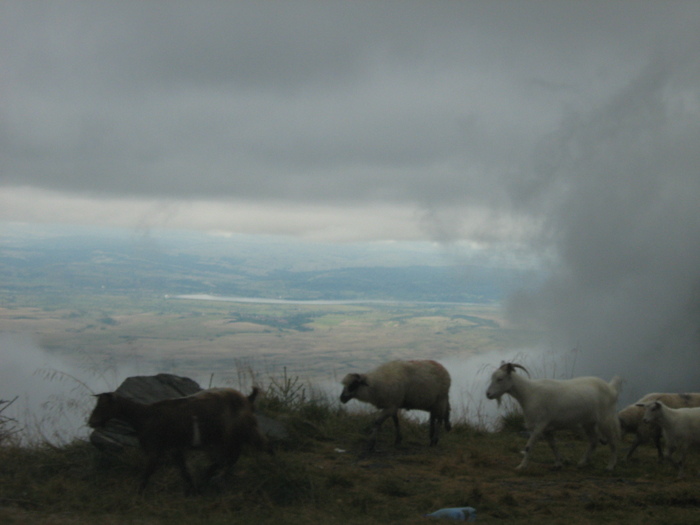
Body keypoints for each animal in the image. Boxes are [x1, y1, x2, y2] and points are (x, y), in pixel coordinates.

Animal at [87, 384, 270, 492]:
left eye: (105, 405)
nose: (92, 421)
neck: (144, 416)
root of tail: (247, 399)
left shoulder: (155, 448)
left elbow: (148, 471)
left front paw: (138, 492)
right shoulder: (175, 448)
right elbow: (183, 470)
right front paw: (192, 489)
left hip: (236, 433)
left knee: (244, 453)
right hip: (229, 436)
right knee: (231, 457)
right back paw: (212, 476)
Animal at [484, 360, 620, 470]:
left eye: (500, 379)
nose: (488, 394)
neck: (529, 393)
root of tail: (611, 388)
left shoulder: (540, 424)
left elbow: (529, 446)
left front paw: (521, 466)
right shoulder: (547, 428)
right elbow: (553, 445)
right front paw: (558, 463)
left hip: (605, 419)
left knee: (613, 441)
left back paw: (610, 466)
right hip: (588, 423)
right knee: (593, 441)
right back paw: (582, 463)